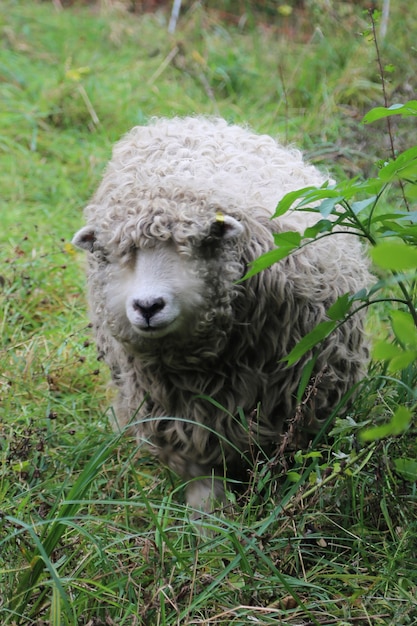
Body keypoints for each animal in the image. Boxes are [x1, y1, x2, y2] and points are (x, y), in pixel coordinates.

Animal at [72, 114, 370, 510]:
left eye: (201, 245)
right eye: (118, 254)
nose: (148, 306)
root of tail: (190, 121)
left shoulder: (301, 404)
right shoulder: (176, 413)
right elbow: (201, 477)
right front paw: (209, 520)